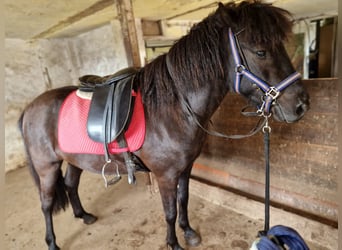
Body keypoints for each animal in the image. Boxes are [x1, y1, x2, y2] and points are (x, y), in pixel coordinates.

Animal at [18, 0, 310, 249]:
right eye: (260, 51)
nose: (301, 105)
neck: (174, 108)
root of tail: (30, 108)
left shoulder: (185, 169)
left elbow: (184, 200)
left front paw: (188, 232)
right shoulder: (165, 175)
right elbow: (169, 211)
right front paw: (174, 243)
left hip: (74, 159)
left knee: (70, 185)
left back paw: (84, 215)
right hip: (47, 168)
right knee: (46, 204)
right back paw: (52, 243)